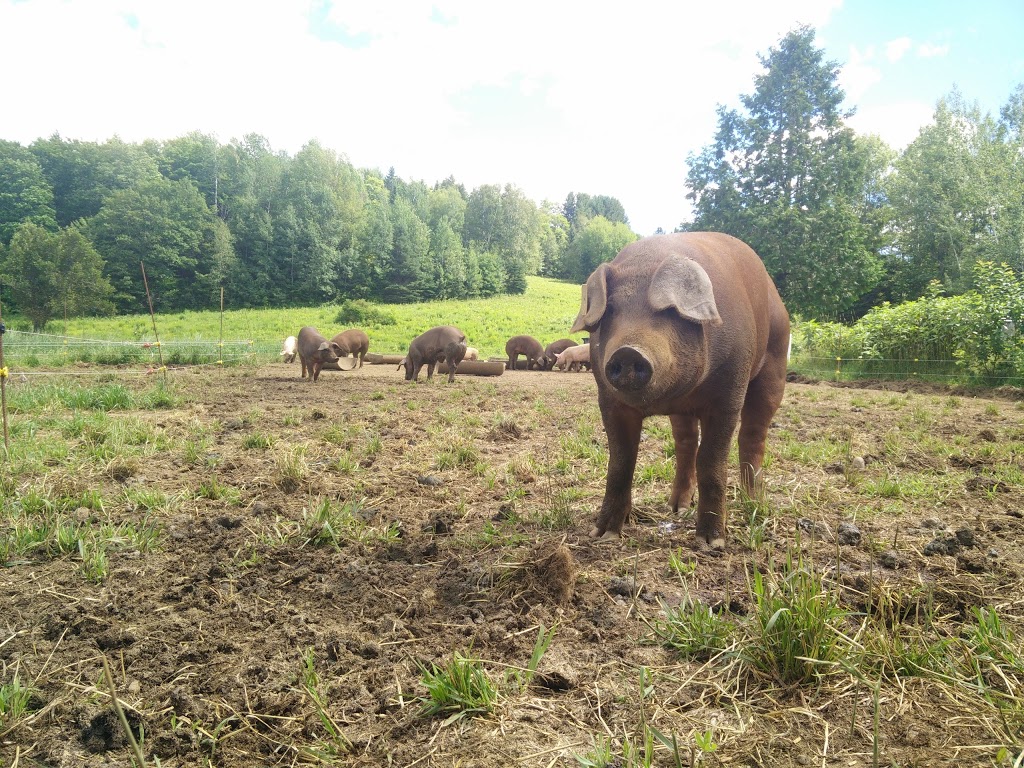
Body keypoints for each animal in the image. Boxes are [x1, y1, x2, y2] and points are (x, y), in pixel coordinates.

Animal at [573, 231, 786, 548]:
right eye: (610, 310)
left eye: (669, 311)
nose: (628, 352)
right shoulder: (609, 401)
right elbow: (620, 462)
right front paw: (603, 534)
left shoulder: (728, 394)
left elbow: (712, 460)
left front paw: (711, 542)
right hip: (683, 414)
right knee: (686, 444)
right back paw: (677, 507)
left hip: (775, 363)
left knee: (753, 436)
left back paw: (755, 504)